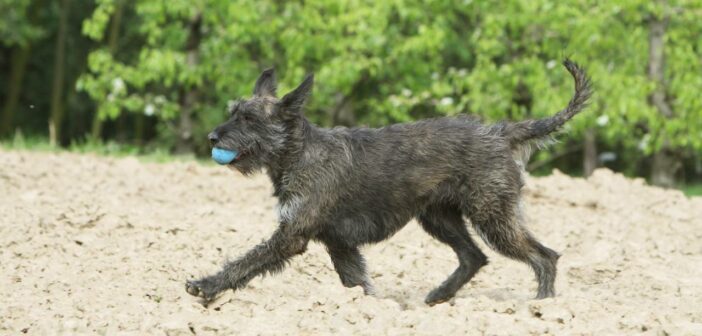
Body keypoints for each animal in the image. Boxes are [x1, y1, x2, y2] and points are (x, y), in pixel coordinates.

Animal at [184, 59, 592, 306]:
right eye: (233, 112)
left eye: (249, 119)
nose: (211, 137)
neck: (298, 153)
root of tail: (501, 132)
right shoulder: (340, 245)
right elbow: (358, 283)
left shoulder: (292, 235)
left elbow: (246, 262)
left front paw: (206, 285)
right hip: (440, 219)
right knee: (474, 257)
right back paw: (438, 297)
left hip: (493, 217)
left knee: (544, 256)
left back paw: (542, 306)